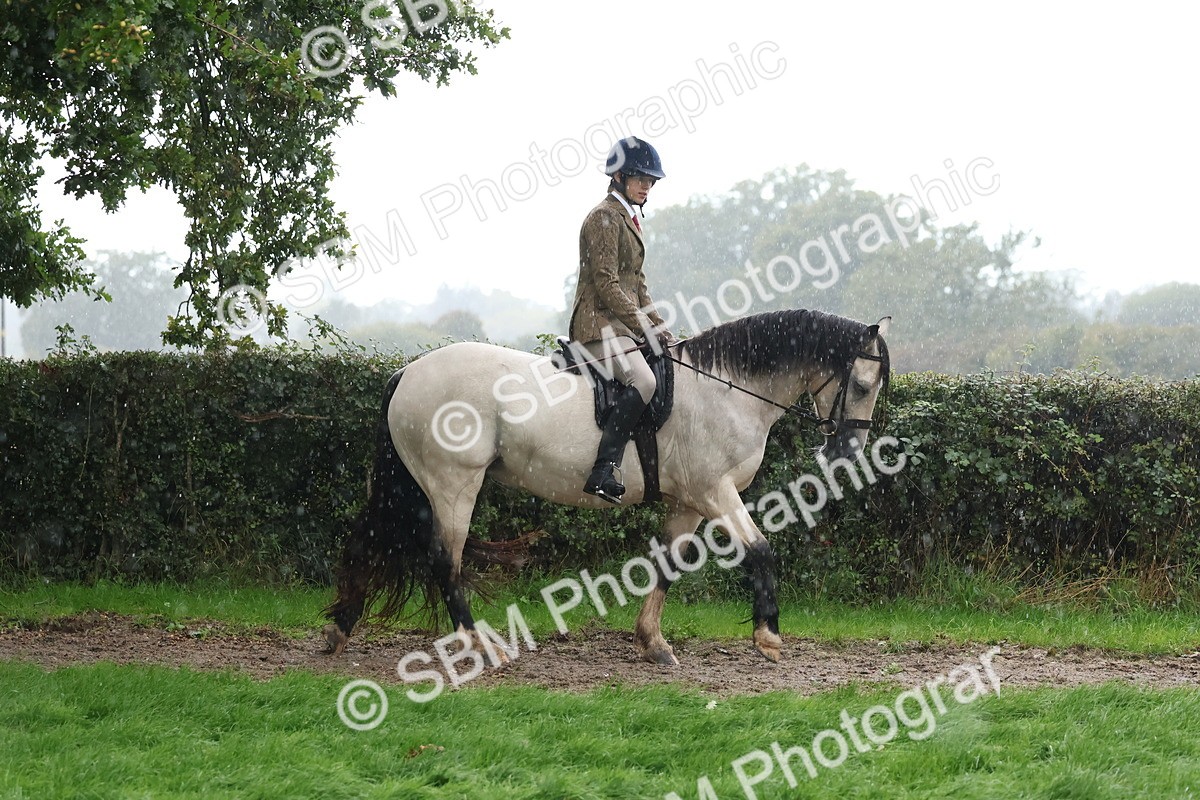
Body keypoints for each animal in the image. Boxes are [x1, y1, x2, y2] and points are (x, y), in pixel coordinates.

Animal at [323, 309, 891, 665]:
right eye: (862, 385)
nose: (848, 453)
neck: (727, 390)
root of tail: (407, 372)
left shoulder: (689, 501)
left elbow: (668, 563)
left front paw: (653, 643)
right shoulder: (714, 491)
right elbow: (761, 550)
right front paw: (768, 636)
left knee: (381, 542)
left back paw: (339, 629)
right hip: (453, 483)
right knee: (446, 560)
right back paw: (478, 644)